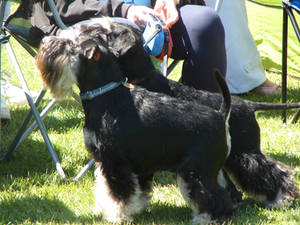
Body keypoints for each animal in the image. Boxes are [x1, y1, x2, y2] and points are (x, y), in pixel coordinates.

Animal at [35, 33, 237, 223]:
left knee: (216, 196)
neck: (107, 97)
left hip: (195, 172)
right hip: (209, 170)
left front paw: (117, 216)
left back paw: (209, 218)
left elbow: (118, 195)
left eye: (70, 45)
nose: (44, 41)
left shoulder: (115, 162)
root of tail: (221, 116)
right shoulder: (106, 163)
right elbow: (108, 188)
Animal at [56, 17, 300, 207]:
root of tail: (249, 105)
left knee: (272, 172)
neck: (145, 77)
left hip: (245, 152)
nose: (83, 31)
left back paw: (283, 198)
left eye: (106, 33)